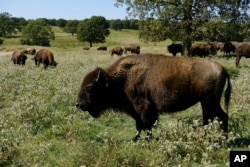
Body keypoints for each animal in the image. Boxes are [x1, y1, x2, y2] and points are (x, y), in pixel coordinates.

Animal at [75, 54, 231, 140]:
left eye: (89, 88)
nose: (78, 104)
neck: (123, 78)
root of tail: (222, 68)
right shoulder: (135, 110)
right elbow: (139, 125)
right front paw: (136, 139)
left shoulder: (143, 107)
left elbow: (146, 124)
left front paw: (147, 139)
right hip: (205, 103)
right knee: (208, 119)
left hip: (211, 102)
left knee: (222, 117)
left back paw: (223, 140)